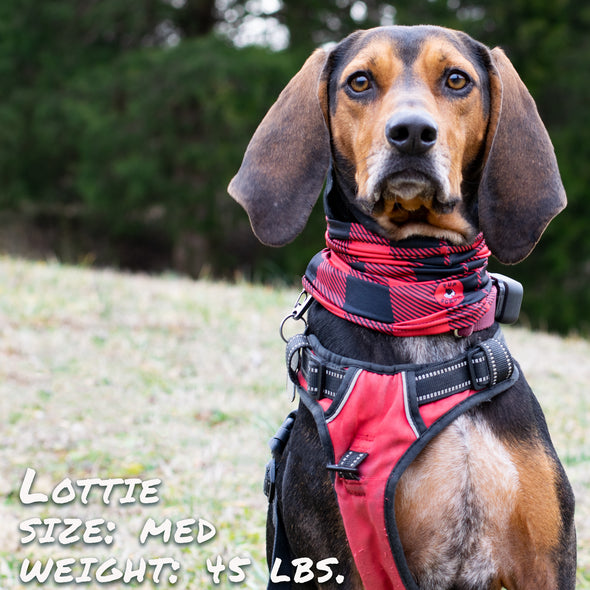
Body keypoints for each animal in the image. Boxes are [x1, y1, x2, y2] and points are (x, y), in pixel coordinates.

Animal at [229, 24, 576, 590]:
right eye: (360, 81)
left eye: (456, 79)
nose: (411, 132)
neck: (419, 298)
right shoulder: (350, 559)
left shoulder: (546, 565)